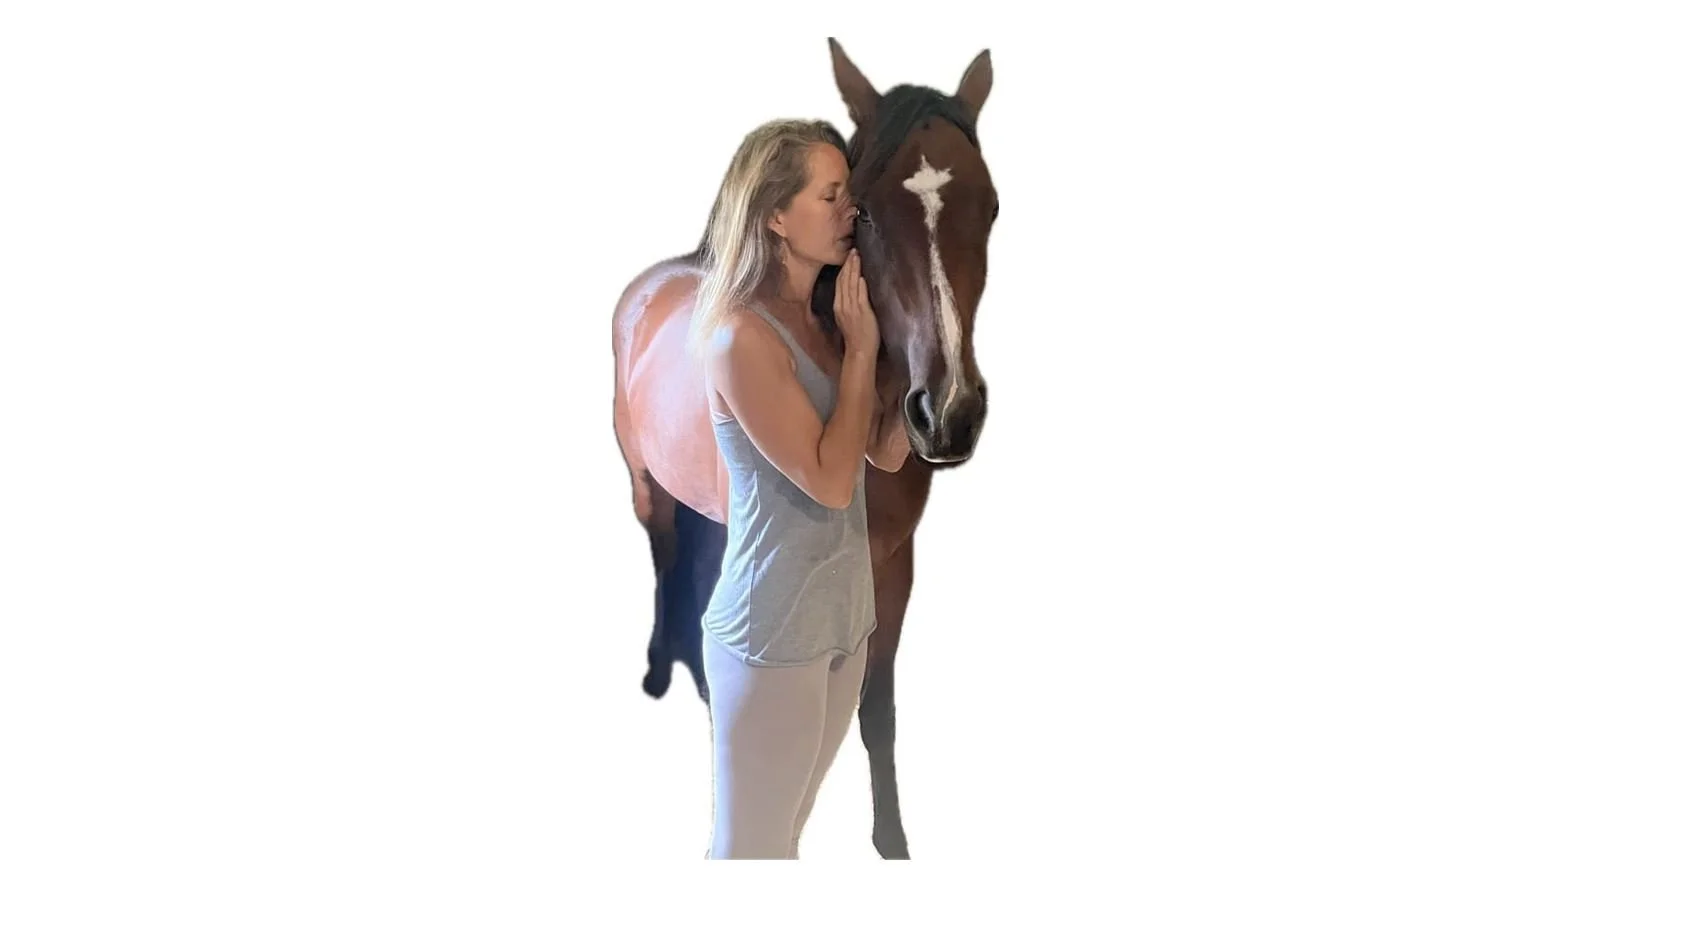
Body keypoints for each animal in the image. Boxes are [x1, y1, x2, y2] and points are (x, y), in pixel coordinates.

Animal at [610, 38, 998, 859]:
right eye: (864, 210)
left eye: (991, 207)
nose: (948, 412)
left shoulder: (893, 564)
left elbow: (876, 710)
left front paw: (891, 839)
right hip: (643, 483)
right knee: (664, 558)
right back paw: (662, 670)